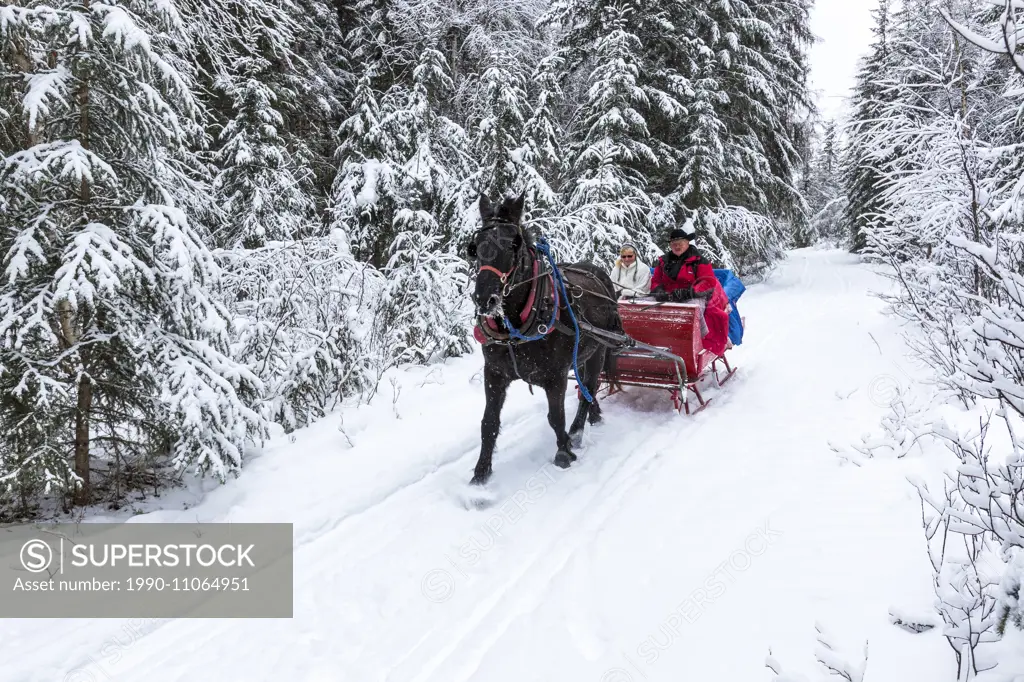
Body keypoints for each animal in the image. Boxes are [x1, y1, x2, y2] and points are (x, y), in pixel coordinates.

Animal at [466, 191, 622, 485]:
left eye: (513, 245)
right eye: (476, 247)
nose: (484, 299)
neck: (515, 329)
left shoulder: (555, 376)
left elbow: (556, 417)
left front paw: (564, 451)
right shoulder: (494, 373)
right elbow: (488, 422)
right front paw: (481, 473)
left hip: (598, 351)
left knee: (589, 387)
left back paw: (577, 430)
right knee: (586, 387)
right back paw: (593, 415)